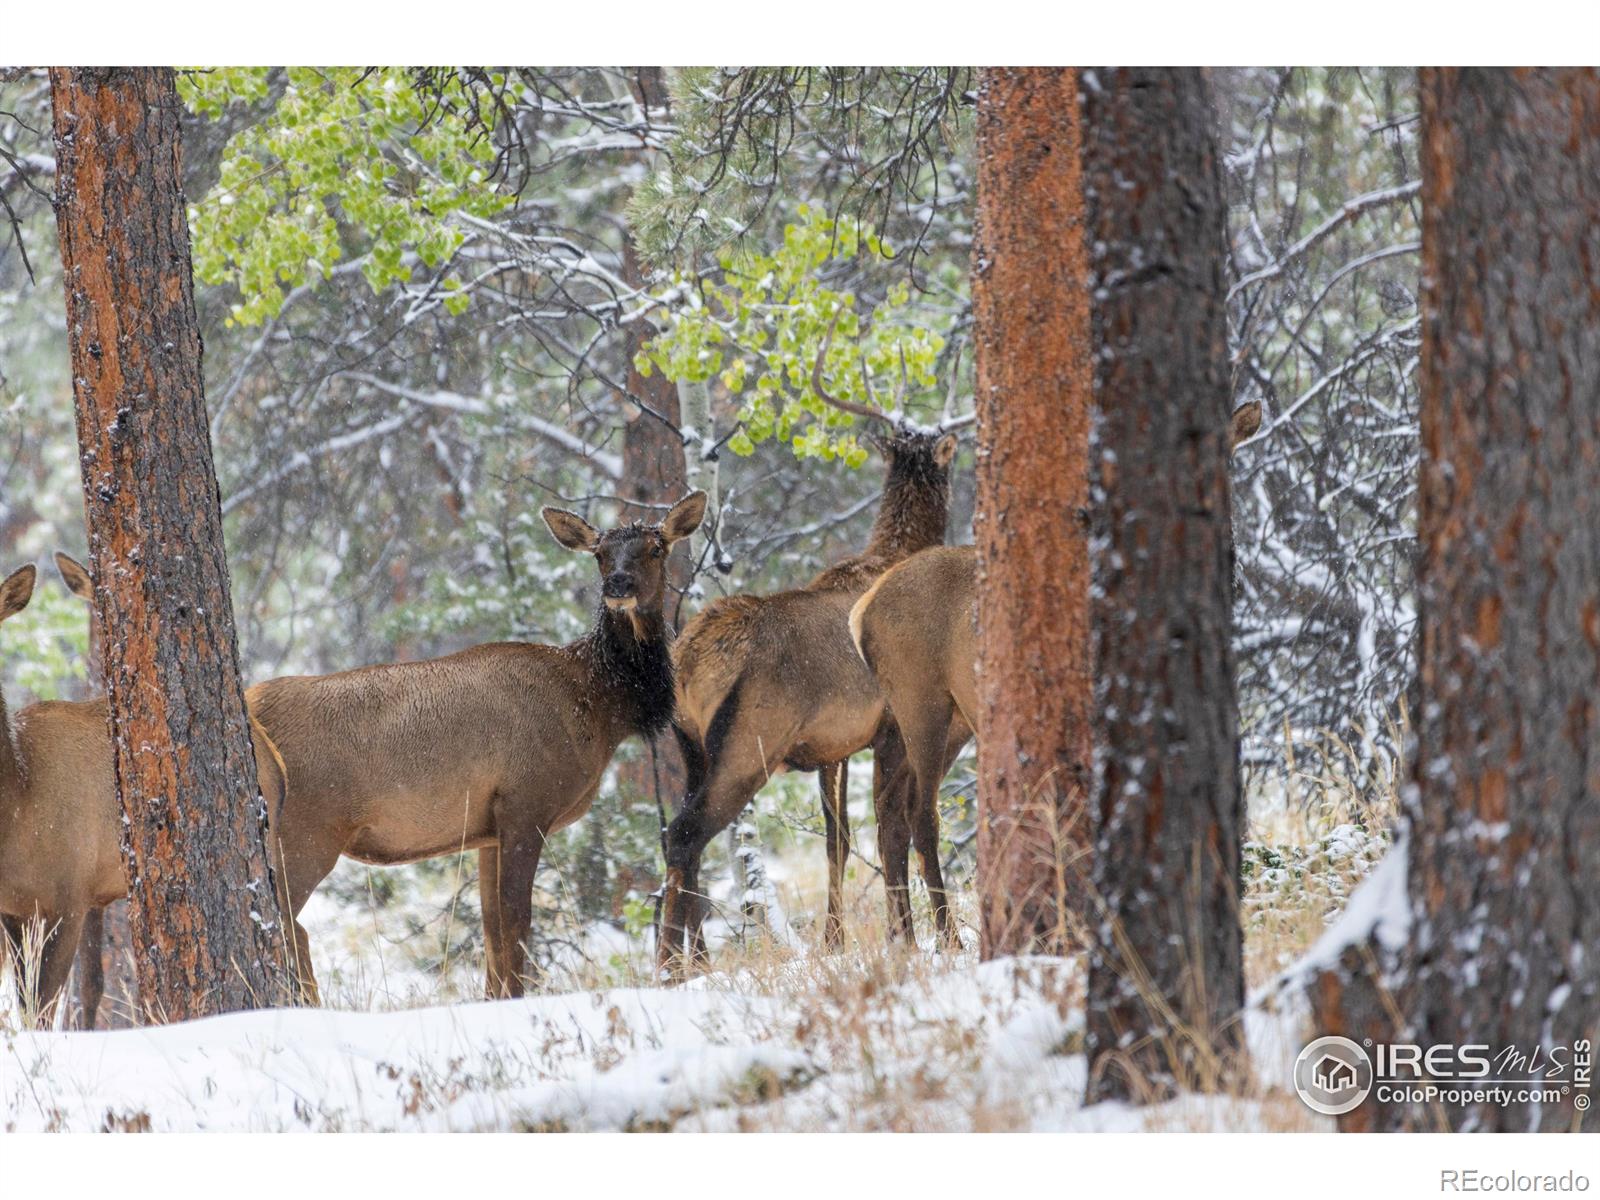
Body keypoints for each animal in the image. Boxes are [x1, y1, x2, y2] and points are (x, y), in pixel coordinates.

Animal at [0, 560, 294, 1030]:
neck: (19, 803)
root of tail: (274, 758)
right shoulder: (14, 908)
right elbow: (38, 1002)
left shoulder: (68, 896)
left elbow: (44, 1006)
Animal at [244, 492, 707, 998]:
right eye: (600, 553)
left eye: (656, 548)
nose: (618, 583)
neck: (598, 708)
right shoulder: (527, 801)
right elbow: (517, 921)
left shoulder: (489, 826)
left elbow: (492, 929)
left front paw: (495, 996)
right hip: (305, 829)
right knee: (288, 924)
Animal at [851, 401, 1260, 940]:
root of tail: (861, 612)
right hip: (922, 699)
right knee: (920, 811)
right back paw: (948, 936)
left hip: (942, 716)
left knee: (890, 808)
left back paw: (906, 939)